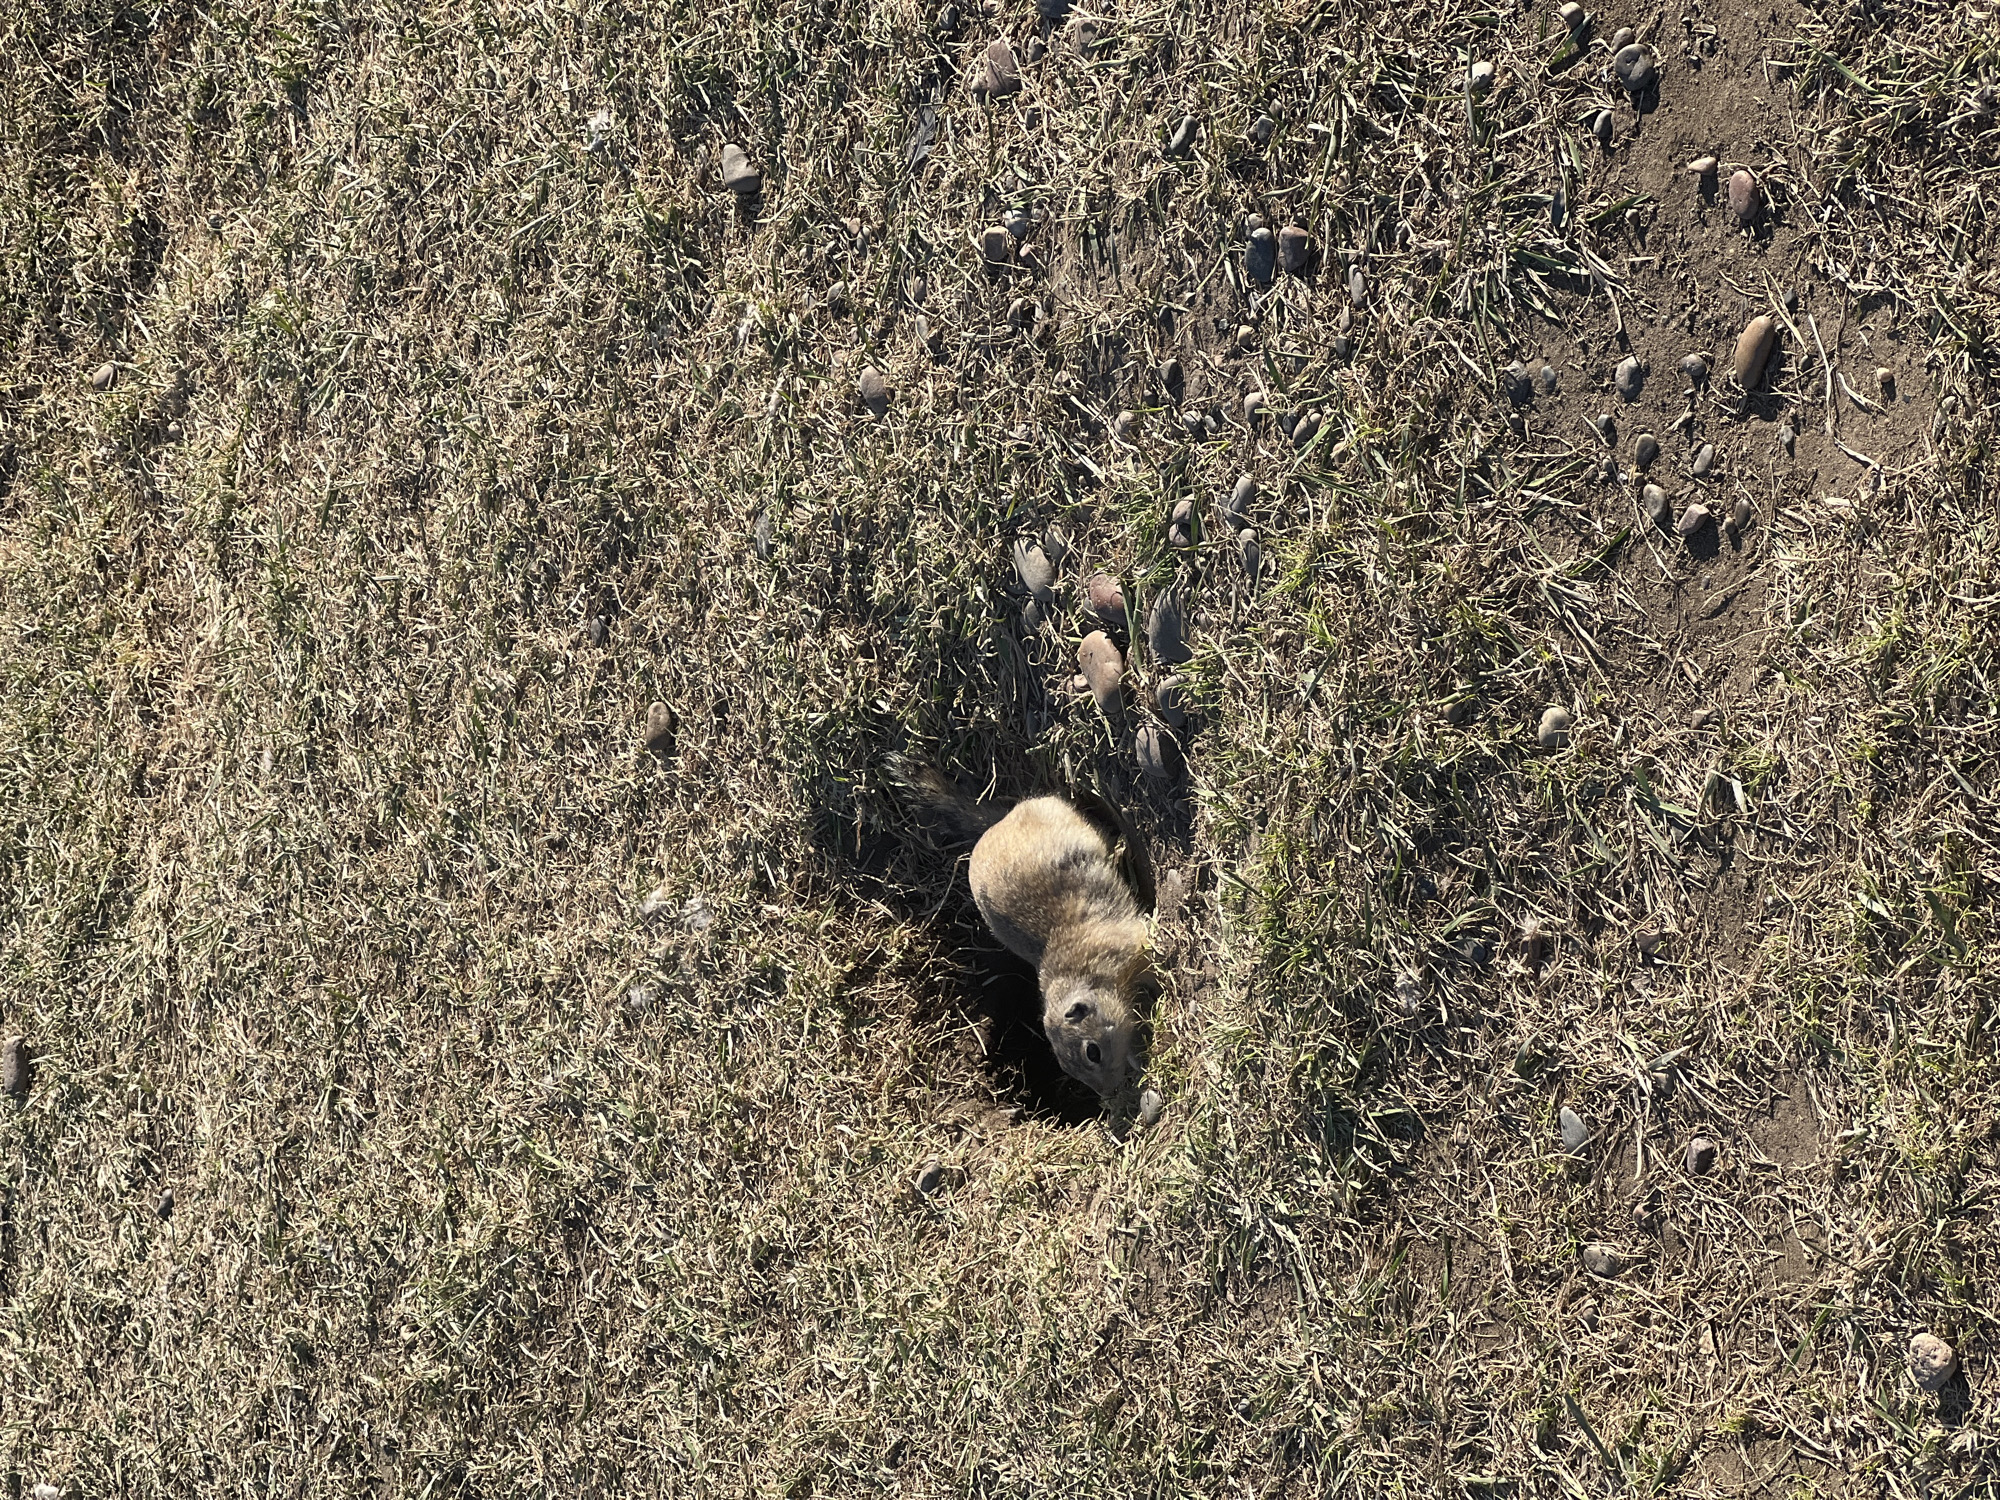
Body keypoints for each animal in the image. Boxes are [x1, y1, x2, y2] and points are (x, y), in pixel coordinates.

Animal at [891, 761, 1151, 1099]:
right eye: (1067, 1068)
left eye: (1092, 1052)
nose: (1108, 1092)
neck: (1086, 974)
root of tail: (1001, 819)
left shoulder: (1129, 951)